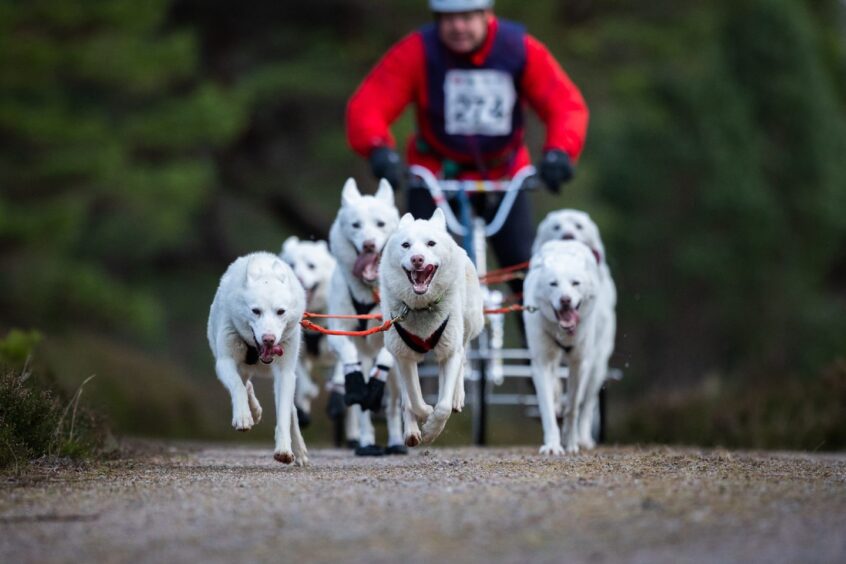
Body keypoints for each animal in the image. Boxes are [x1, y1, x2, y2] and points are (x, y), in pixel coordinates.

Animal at [210, 253, 312, 464]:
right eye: (255, 311)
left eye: (281, 311)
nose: (269, 339)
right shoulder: (225, 362)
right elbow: (238, 387)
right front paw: (243, 416)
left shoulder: (285, 373)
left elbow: (284, 414)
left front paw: (284, 449)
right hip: (238, 365)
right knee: (245, 384)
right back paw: (254, 411)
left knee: (292, 410)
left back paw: (299, 450)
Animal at [324, 178, 408, 456]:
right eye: (356, 225)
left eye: (380, 224)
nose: (369, 244)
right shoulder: (338, 332)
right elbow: (355, 377)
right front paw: (356, 384)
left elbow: (383, 366)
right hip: (365, 356)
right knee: (362, 408)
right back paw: (366, 442)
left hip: (396, 378)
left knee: (392, 405)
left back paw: (396, 442)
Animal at [382, 209, 484, 448]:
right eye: (406, 245)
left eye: (431, 244)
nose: (417, 259)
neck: (421, 308)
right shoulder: (404, 356)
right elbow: (413, 399)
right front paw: (425, 415)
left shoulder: (450, 349)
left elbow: (444, 406)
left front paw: (431, 429)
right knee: (407, 397)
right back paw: (411, 431)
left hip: (466, 327)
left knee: (462, 358)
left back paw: (456, 396)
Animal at [532, 207, 620, 450]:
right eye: (556, 226)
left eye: (579, 226)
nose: (568, 235)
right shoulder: (542, 358)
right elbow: (548, 402)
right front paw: (553, 444)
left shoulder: (581, 361)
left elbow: (574, 405)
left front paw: (570, 441)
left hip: (598, 365)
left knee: (587, 403)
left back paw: (583, 437)